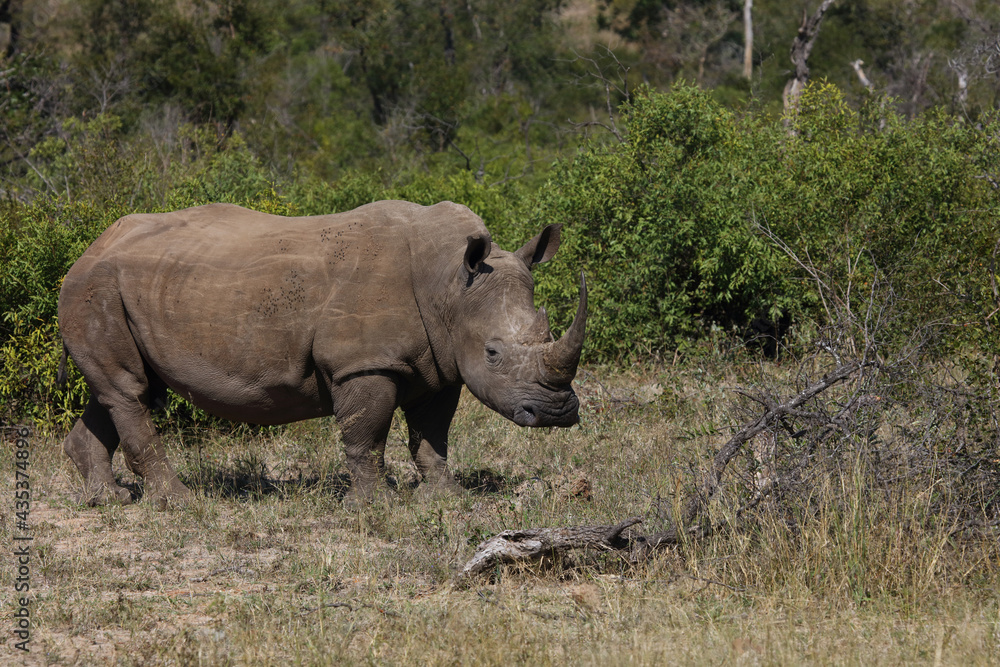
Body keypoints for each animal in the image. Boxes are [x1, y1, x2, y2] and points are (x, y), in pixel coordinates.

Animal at [57, 200, 586, 508]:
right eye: (493, 352)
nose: (558, 412)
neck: (450, 285)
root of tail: (88, 247)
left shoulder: (441, 363)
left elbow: (432, 436)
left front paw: (447, 499)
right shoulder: (363, 363)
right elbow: (367, 434)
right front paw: (374, 507)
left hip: (127, 288)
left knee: (122, 390)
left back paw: (107, 499)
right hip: (95, 288)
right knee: (131, 392)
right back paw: (180, 503)